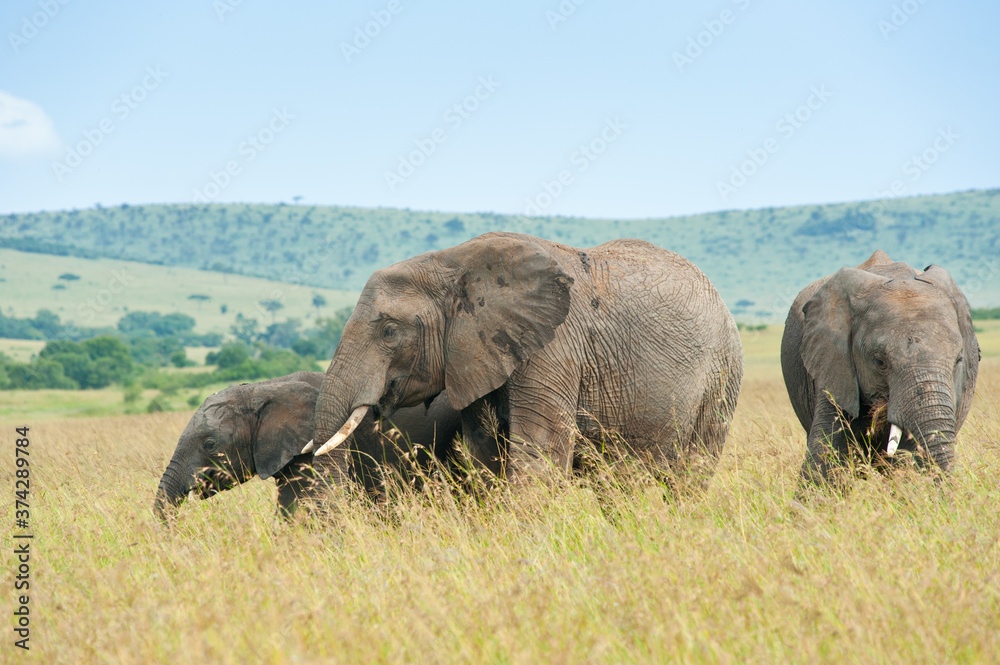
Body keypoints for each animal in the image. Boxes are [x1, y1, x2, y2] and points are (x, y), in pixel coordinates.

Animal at [308, 232, 743, 492]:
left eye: (389, 331)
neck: (451, 262)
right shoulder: (477, 354)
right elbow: (486, 455)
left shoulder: (554, 347)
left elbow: (539, 453)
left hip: (721, 375)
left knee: (693, 469)